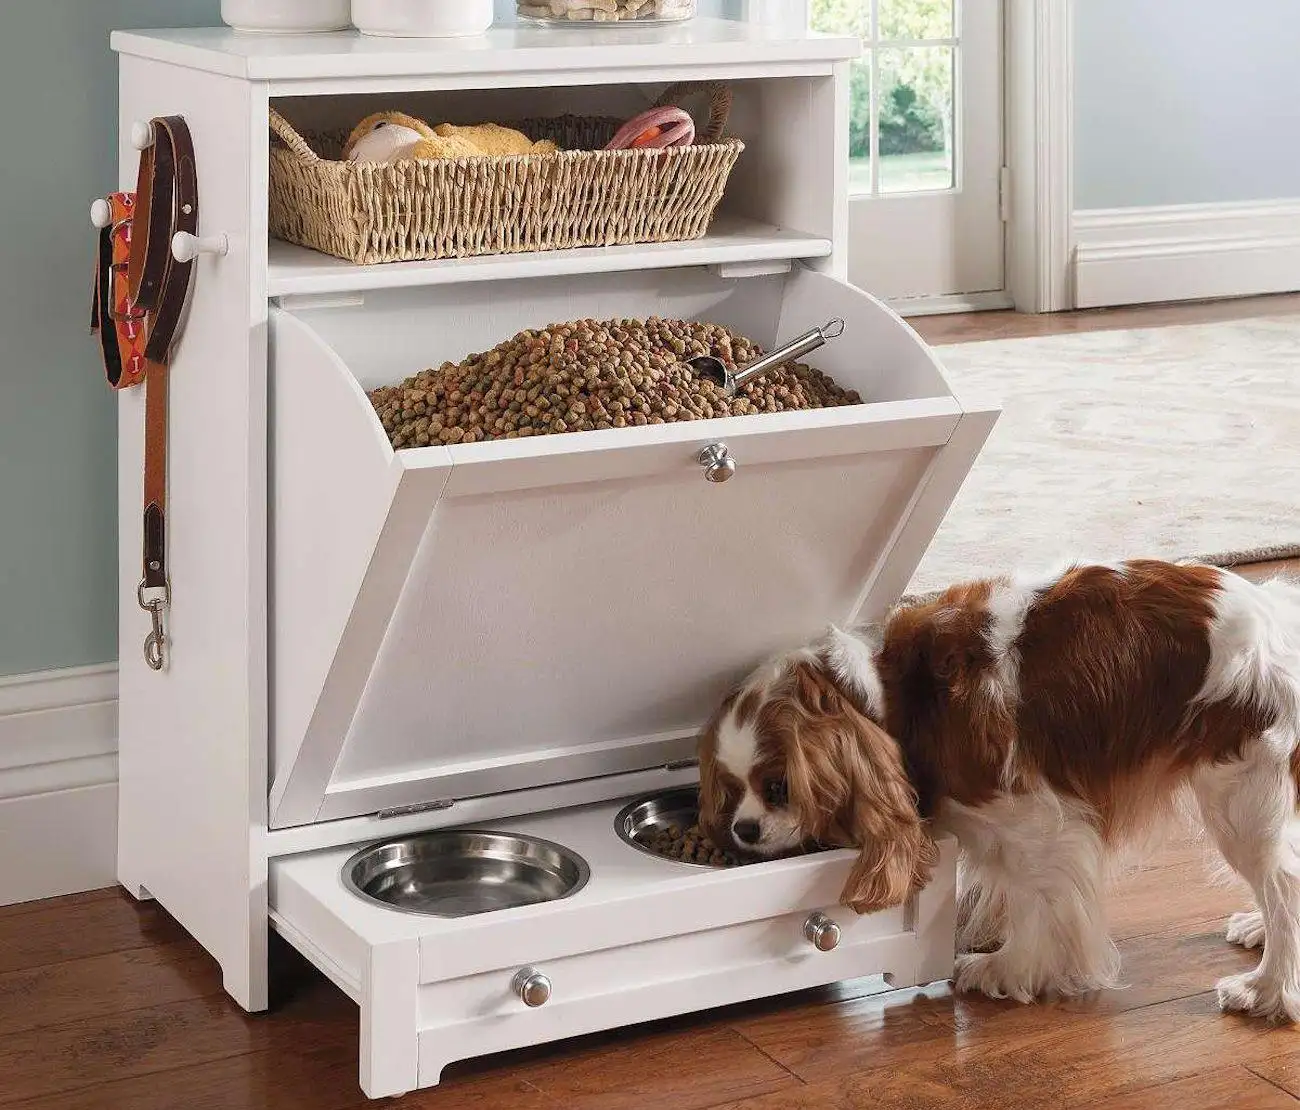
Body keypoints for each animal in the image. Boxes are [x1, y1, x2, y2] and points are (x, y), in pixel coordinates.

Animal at [702, 561, 1300, 1019]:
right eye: (731, 787)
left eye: (778, 787)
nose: (744, 830)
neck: (894, 696)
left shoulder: (1040, 825)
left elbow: (1037, 901)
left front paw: (1006, 968)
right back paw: (1257, 931)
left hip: (1245, 797)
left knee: (1284, 885)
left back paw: (1266, 991)